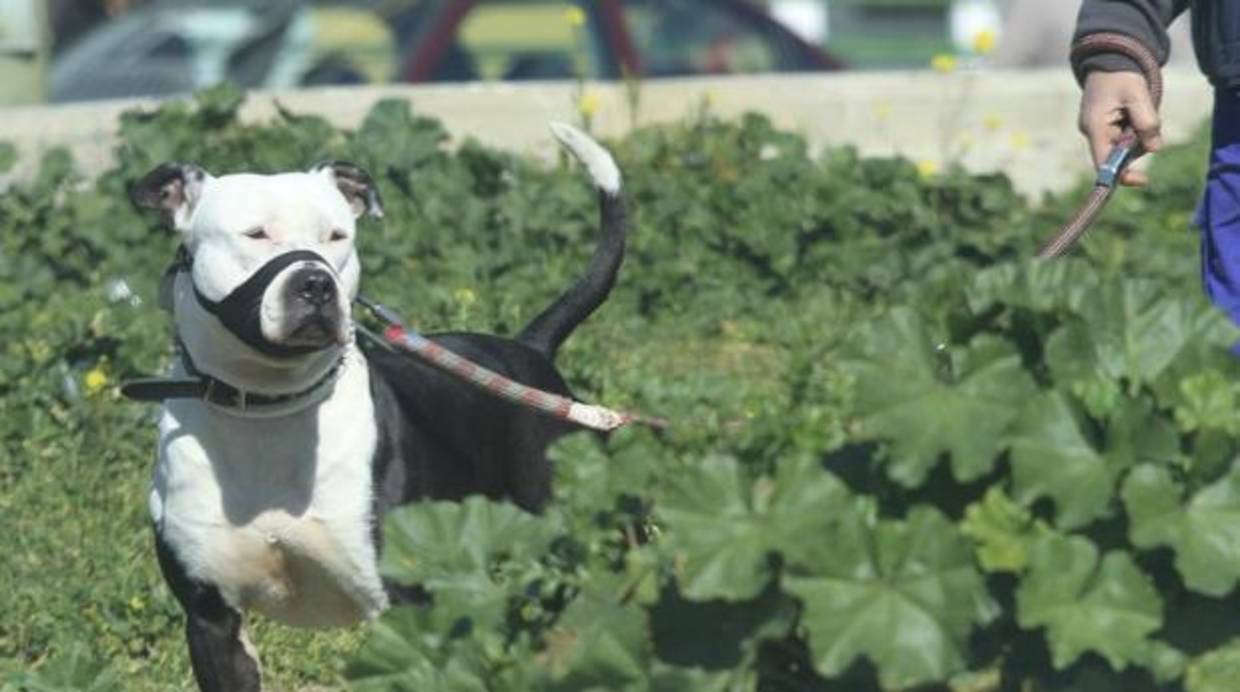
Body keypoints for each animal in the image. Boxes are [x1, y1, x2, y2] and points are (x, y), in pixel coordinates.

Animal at [130, 122, 624, 689]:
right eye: (255, 234)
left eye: (337, 236)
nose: (315, 283)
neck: (268, 409)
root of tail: (530, 348)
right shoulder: (212, 619)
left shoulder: (408, 604)